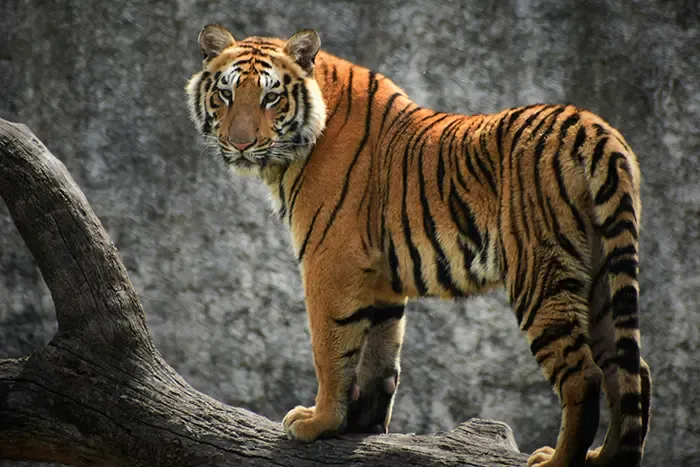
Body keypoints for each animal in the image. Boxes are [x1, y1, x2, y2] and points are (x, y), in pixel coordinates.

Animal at [186, 24, 652, 467]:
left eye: (271, 98)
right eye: (226, 94)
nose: (241, 143)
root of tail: (594, 129)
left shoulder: (330, 261)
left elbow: (331, 348)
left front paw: (319, 423)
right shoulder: (379, 277)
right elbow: (379, 354)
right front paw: (362, 427)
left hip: (540, 273)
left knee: (584, 375)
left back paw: (557, 461)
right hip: (602, 275)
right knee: (632, 371)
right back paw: (605, 457)